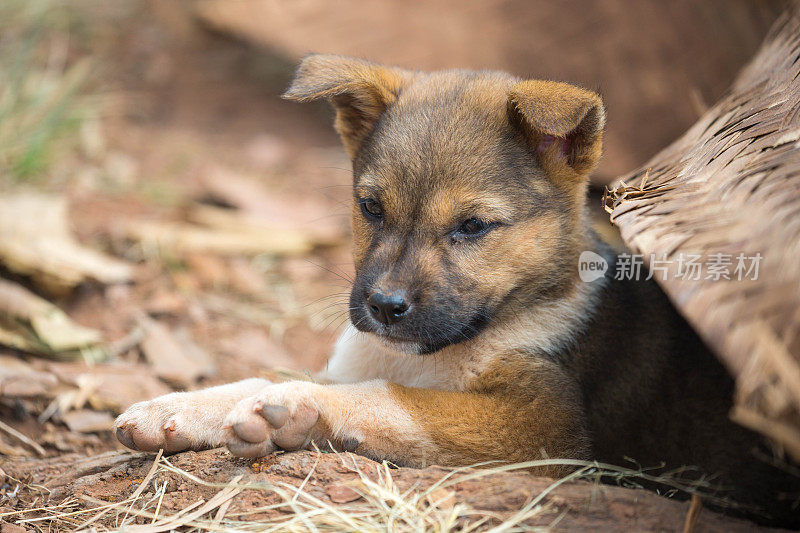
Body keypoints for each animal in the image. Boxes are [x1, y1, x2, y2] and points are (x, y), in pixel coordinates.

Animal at [115, 56, 796, 524]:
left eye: (472, 227)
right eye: (371, 208)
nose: (383, 308)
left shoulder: (542, 427)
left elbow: (394, 400)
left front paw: (299, 410)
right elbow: (266, 376)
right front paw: (176, 409)